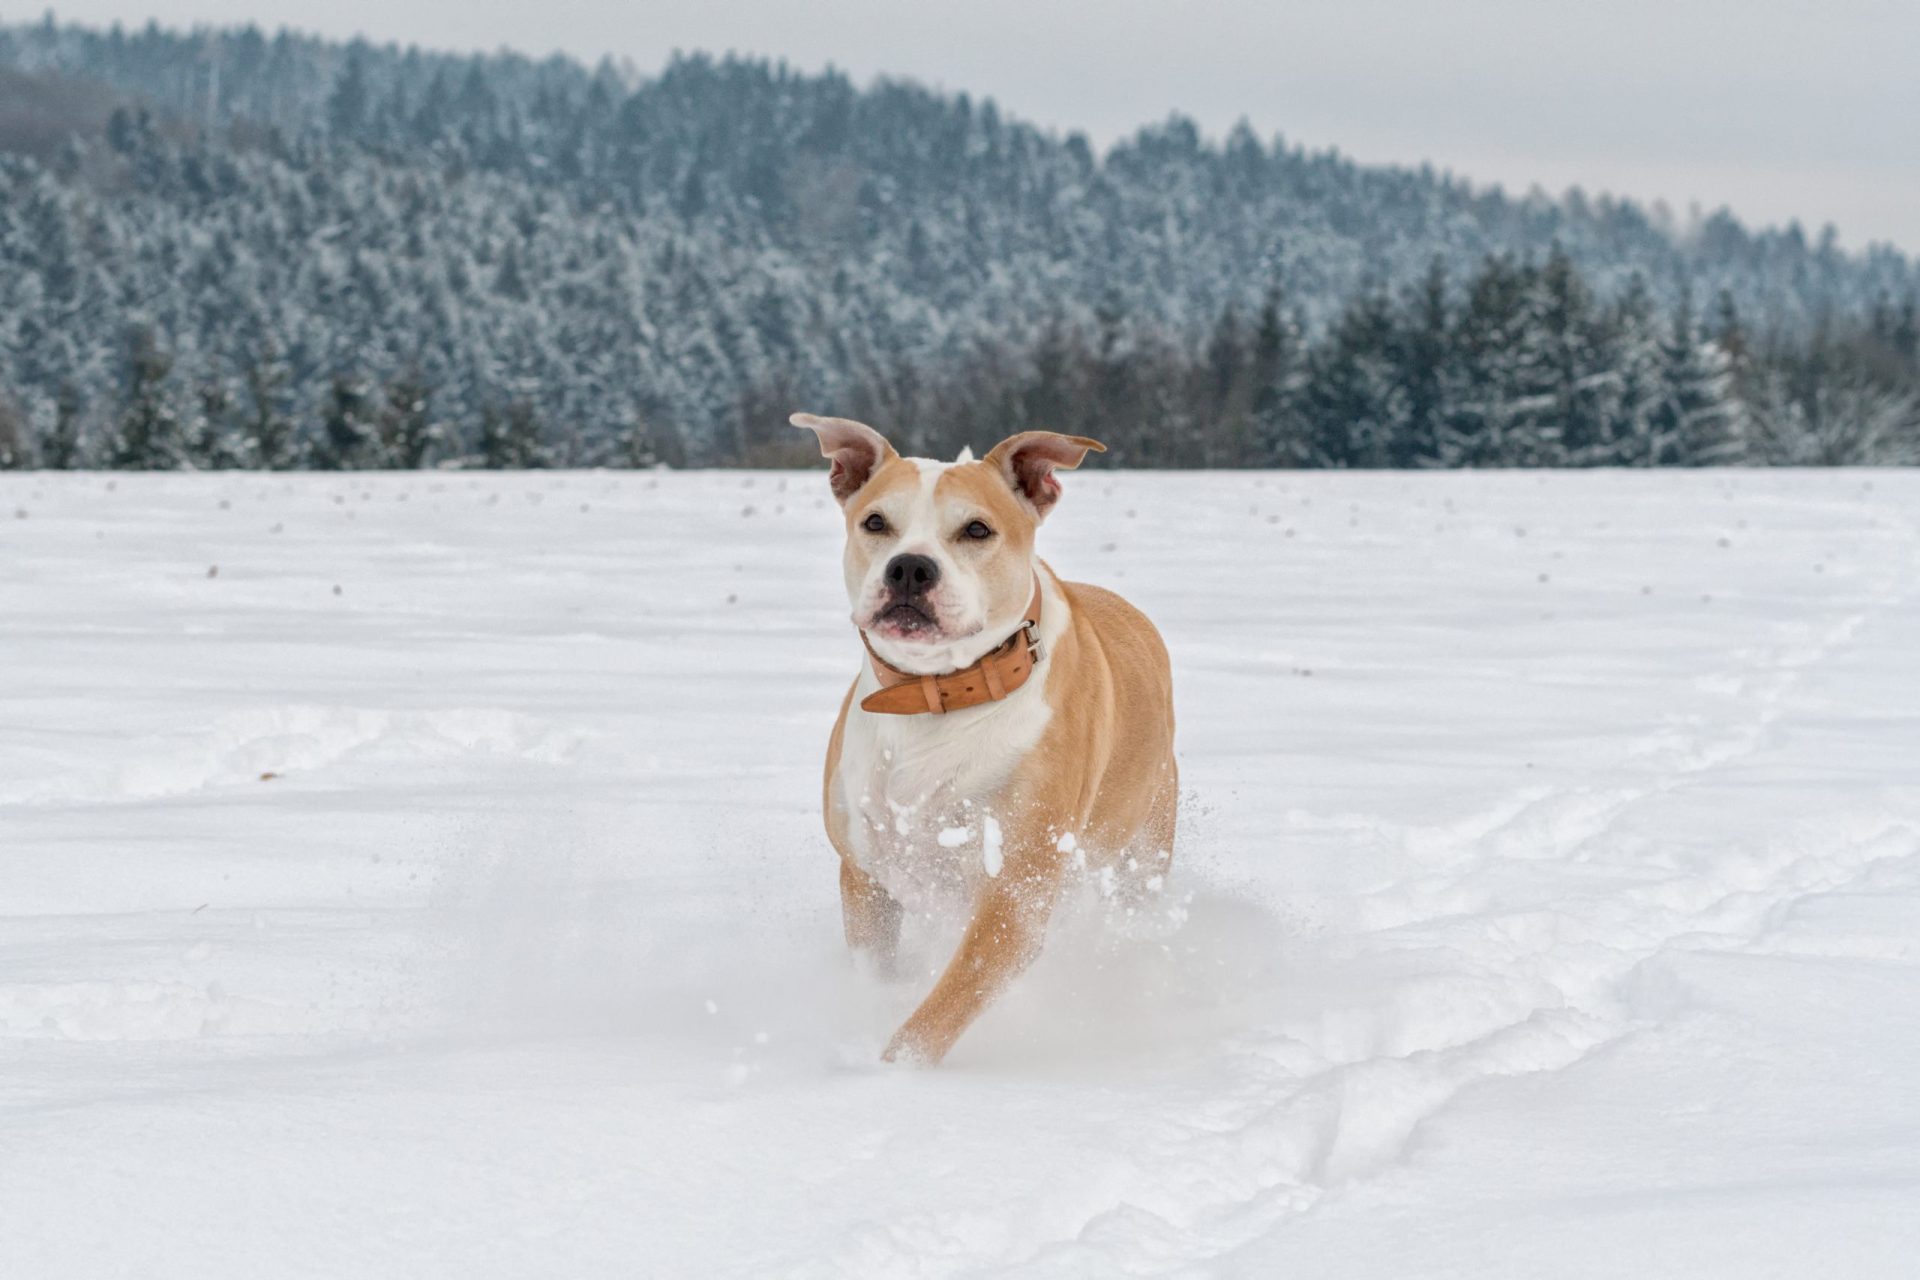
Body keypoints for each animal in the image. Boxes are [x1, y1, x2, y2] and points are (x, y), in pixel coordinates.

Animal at [787, 416, 1175, 1066]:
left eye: (976, 529)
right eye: (875, 522)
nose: (910, 568)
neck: (935, 695)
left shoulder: (1014, 896)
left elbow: (935, 1017)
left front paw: (885, 1075)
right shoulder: (866, 877)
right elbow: (878, 974)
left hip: (1140, 855)